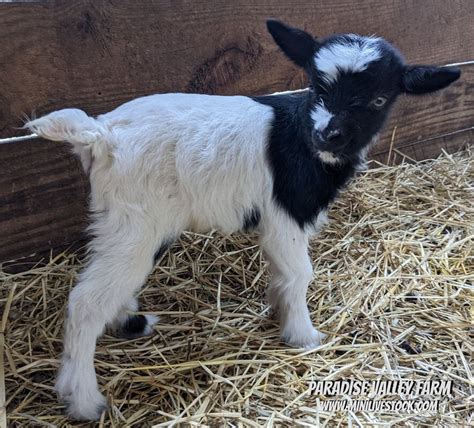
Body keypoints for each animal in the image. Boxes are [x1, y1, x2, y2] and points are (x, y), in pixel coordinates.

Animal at [25, 19, 460, 418]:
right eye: (317, 86)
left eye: (379, 99)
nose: (329, 135)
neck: (303, 138)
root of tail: (101, 133)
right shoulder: (285, 215)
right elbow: (299, 273)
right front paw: (303, 335)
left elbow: (284, 276)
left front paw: (279, 312)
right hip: (136, 221)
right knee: (86, 301)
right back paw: (84, 401)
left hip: (126, 221)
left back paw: (130, 322)